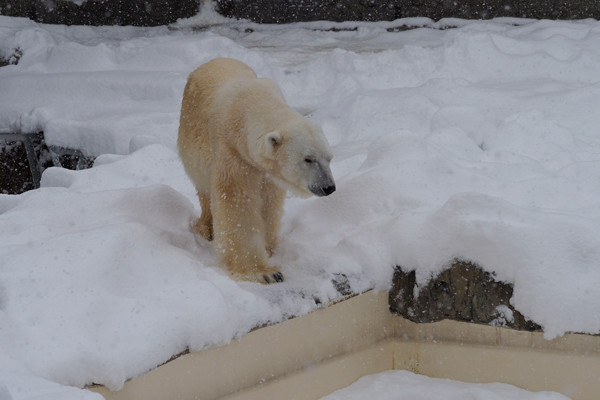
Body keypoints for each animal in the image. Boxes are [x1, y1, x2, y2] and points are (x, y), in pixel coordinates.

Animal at [178, 58, 338, 284]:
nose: (328, 187)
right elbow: (238, 205)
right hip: (191, 137)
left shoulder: (266, 171)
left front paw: (268, 248)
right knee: (204, 188)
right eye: (308, 159)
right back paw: (206, 228)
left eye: (329, 158)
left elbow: (269, 202)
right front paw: (266, 272)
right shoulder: (233, 154)